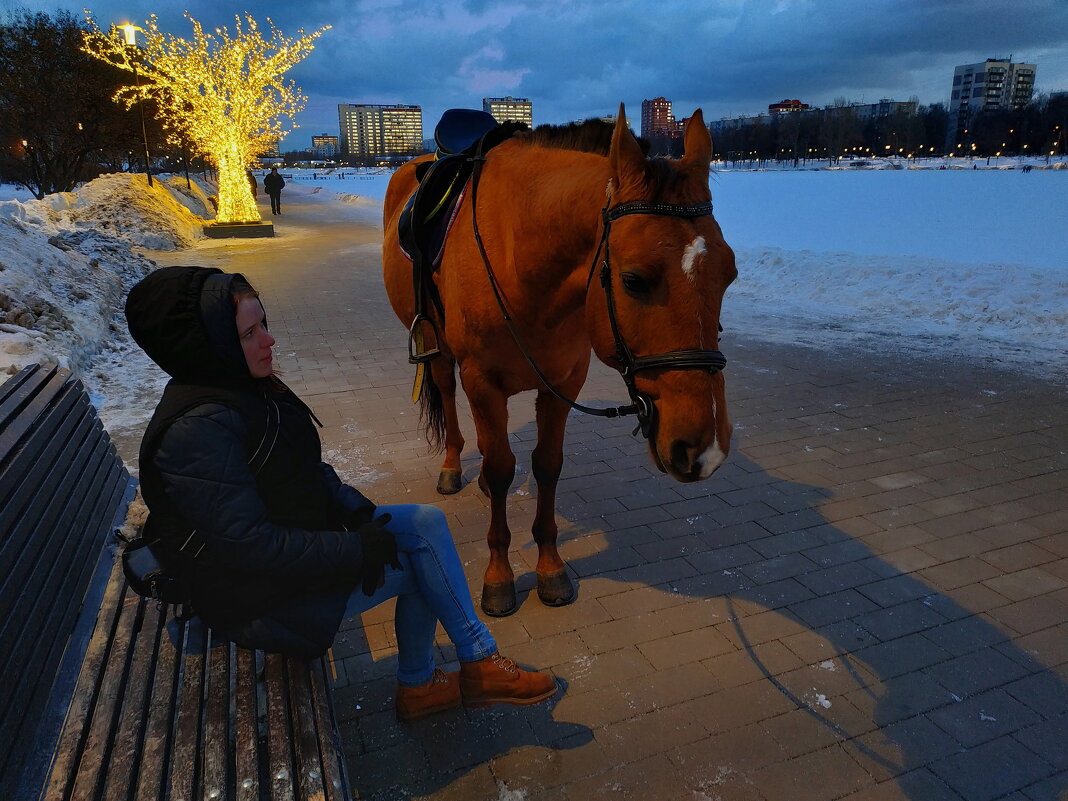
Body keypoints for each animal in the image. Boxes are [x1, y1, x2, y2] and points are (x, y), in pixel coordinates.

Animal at [382, 106, 734, 619]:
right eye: (633, 280)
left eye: (730, 274)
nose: (703, 449)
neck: (520, 256)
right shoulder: (482, 380)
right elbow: (502, 469)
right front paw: (499, 576)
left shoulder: (563, 383)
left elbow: (546, 465)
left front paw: (549, 568)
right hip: (440, 347)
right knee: (448, 393)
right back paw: (452, 465)